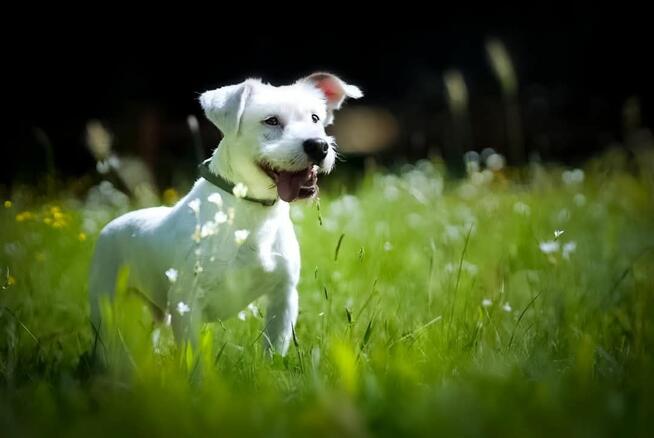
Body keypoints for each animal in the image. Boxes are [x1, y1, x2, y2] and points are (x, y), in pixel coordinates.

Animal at [88, 72, 364, 356]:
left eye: (316, 118)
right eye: (271, 120)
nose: (318, 146)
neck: (251, 211)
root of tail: (111, 225)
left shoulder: (284, 296)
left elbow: (274, 347)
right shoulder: (186, 304)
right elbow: (193, 355)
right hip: (107, 303)